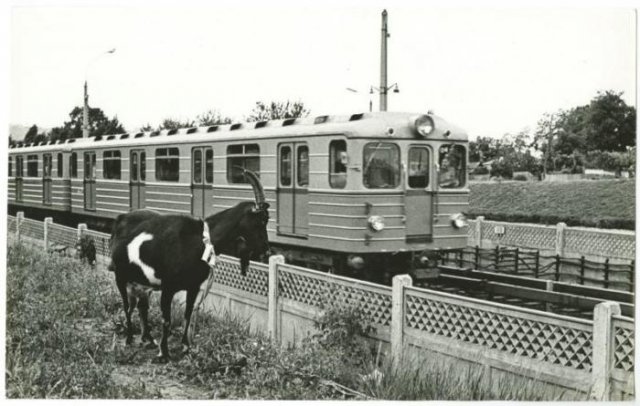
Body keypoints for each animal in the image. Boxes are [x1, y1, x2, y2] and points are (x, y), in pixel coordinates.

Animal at [110, 170, 270, 360]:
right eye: (261, 221)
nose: (267, 252)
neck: (201, 241)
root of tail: (120, 219)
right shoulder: (168, 287)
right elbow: (166, 319)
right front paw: (164, 353)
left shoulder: (193, 286)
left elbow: (188, 313)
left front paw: (186, 347)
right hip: (120, 276)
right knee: (127, 307)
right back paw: (129, 339)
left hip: (141, 282)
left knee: (141, 307)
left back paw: (148, 339)